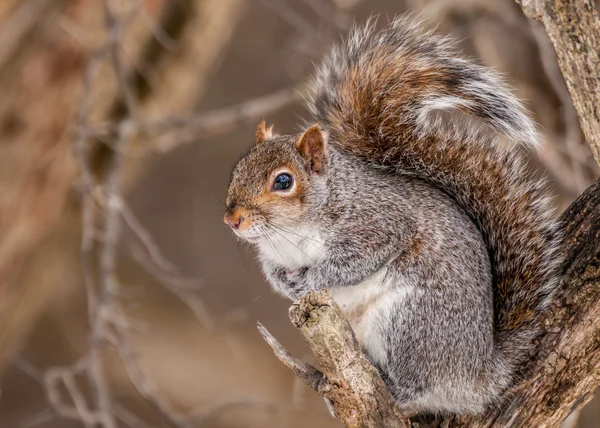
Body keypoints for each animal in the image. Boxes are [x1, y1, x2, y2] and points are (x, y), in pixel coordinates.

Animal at [223, 15, 560, 414]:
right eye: (237, 170)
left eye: (284, 181)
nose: (232, 220)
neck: (289, 233)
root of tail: (479, 376)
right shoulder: (273, 255)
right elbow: (274, 273)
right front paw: (286, 285)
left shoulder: (379, 224)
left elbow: (354, 262)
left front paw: (312, 279)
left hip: (409, 322)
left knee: (419, 386)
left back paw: (396, 390)